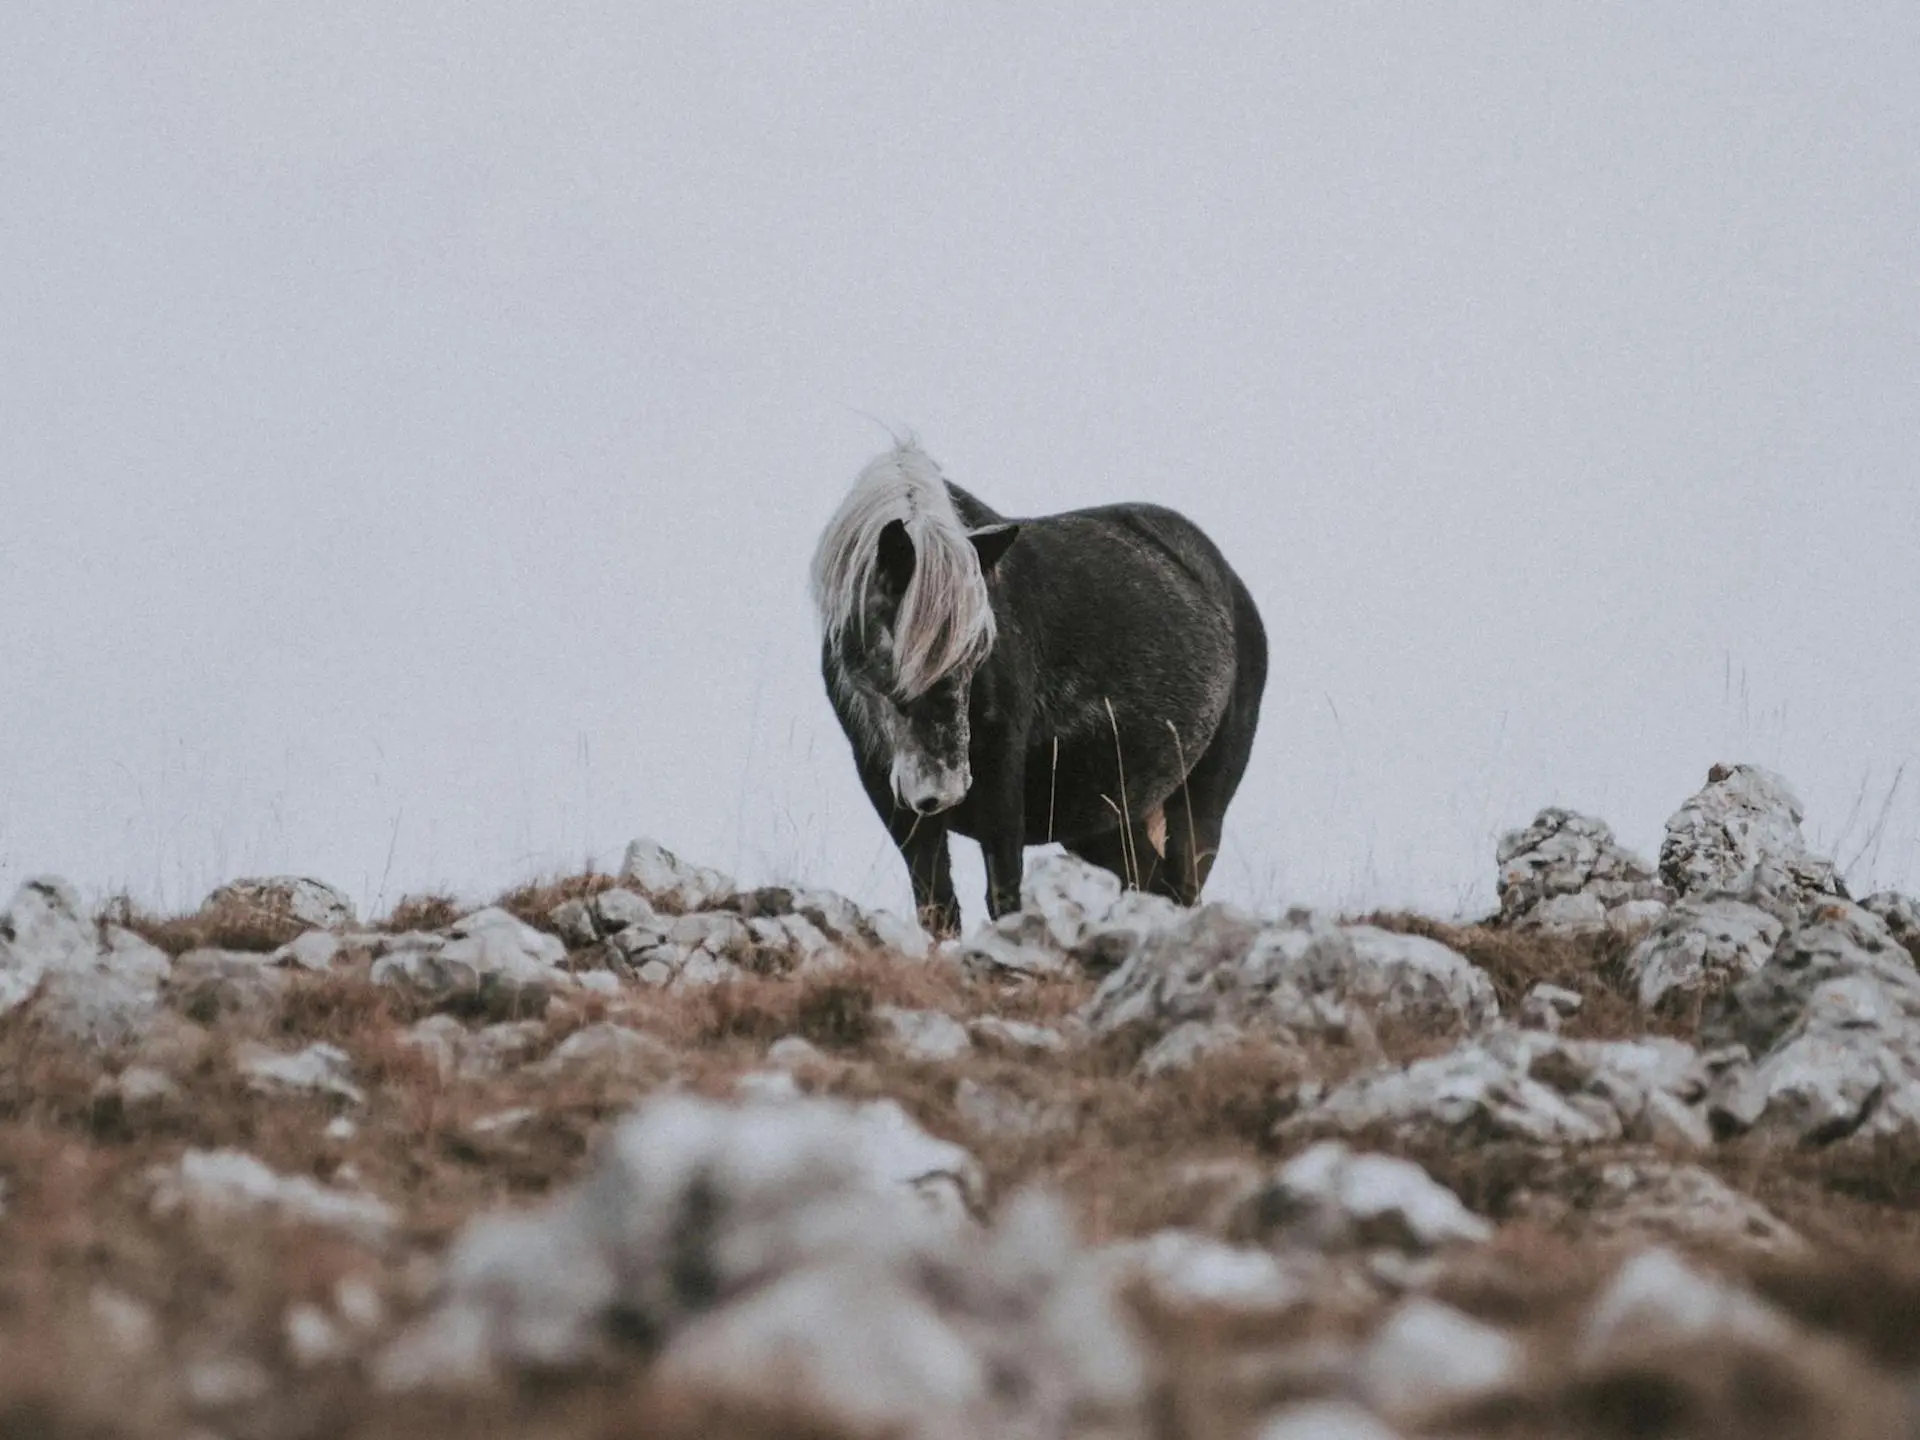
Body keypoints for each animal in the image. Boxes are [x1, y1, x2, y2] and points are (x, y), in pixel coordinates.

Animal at [806, 439, 1267, 936]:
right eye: (893, 655)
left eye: (979, 650)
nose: (940, 792)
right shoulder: (887, 792)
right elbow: (937, 907)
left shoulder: (1001, 781)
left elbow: (1004, 895)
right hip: (1106, 822)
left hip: (1199, 804)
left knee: (1182, 887)